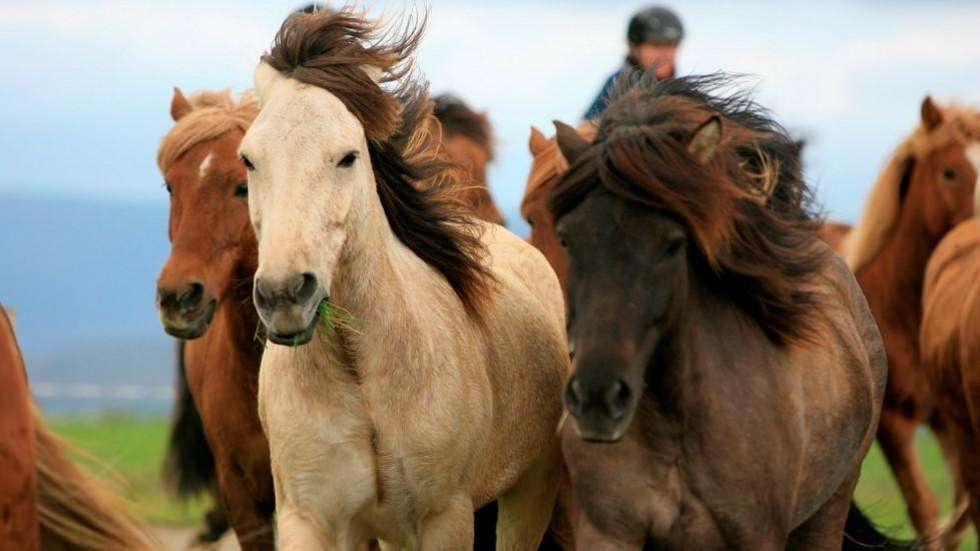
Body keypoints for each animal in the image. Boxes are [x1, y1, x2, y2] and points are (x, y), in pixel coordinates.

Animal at [548, 73, 896, 549]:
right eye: (568, 239)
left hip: (828, 509)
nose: (597, 398)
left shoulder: (757, 535)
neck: (674, 431)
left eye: (673, 244)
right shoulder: (607, 532)